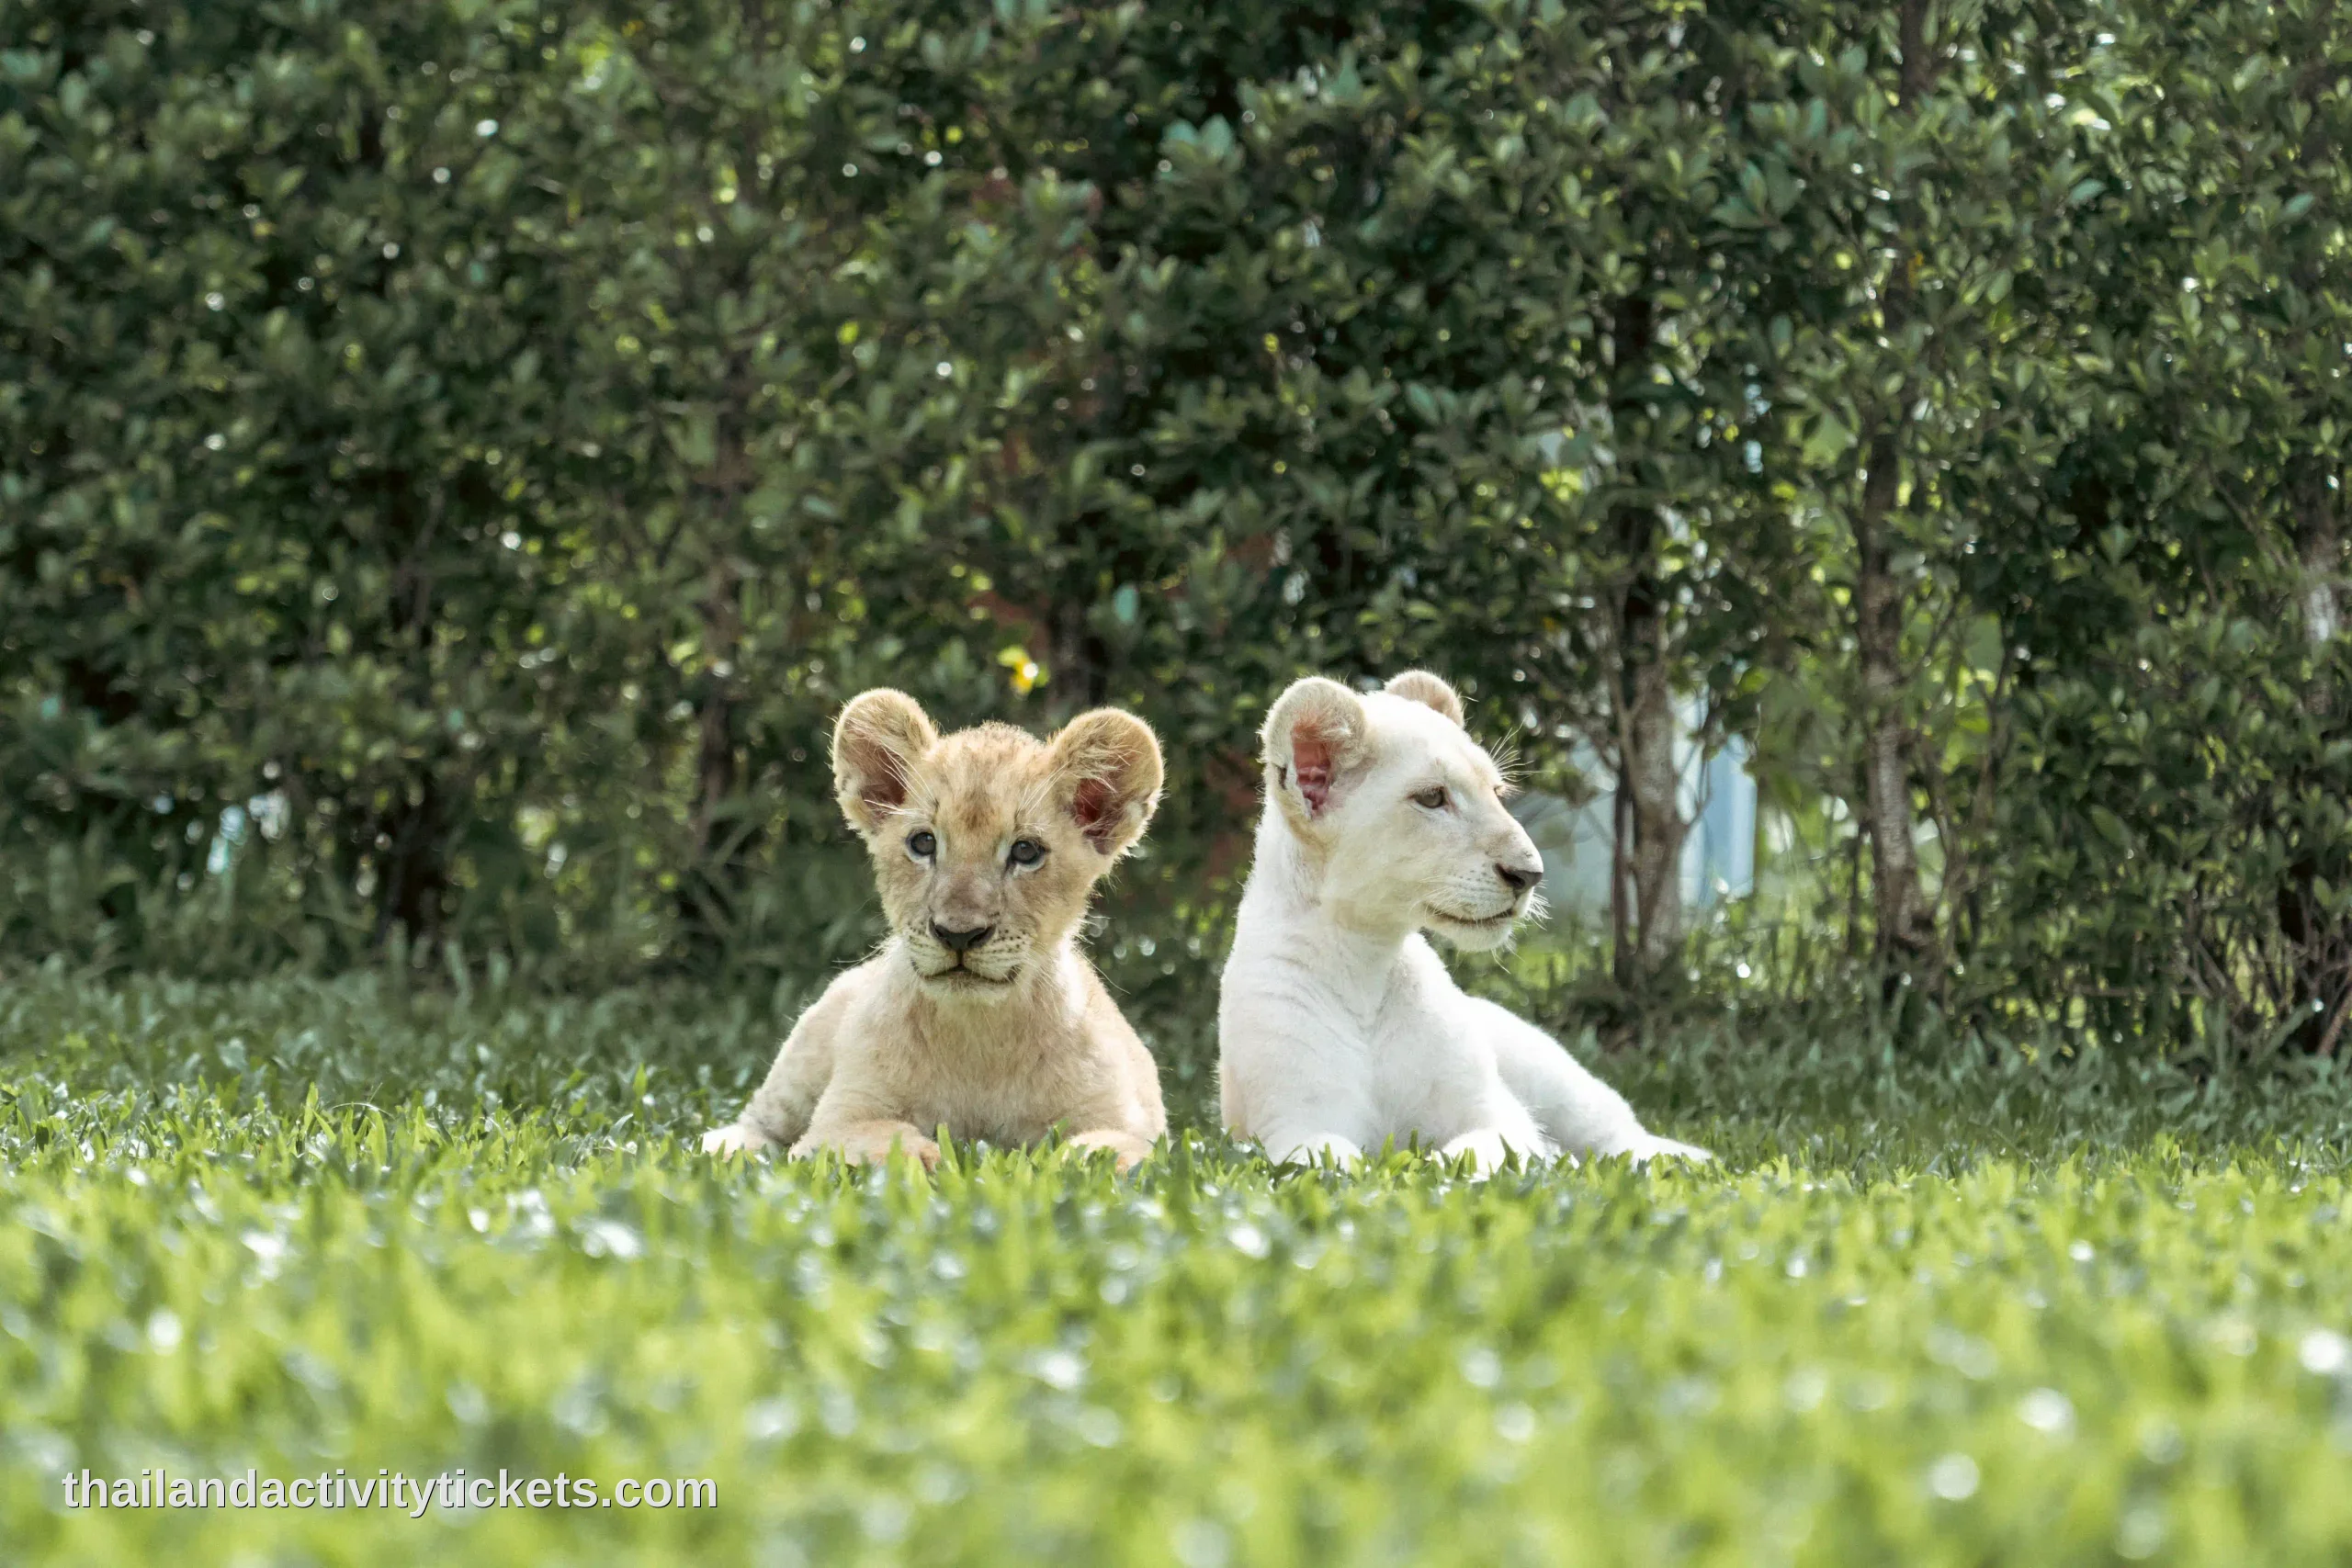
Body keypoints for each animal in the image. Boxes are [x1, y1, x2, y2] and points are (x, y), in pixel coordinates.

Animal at [700, 689, 1168, 1171]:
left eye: (1026, 851)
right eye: (923, 843)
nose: (958, 934)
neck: (980, 1031)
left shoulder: (1128, 1127)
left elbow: (1102, 1155)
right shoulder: (838, 1120)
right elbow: (876, 1141)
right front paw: (925, 1161)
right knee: (753, 1124)